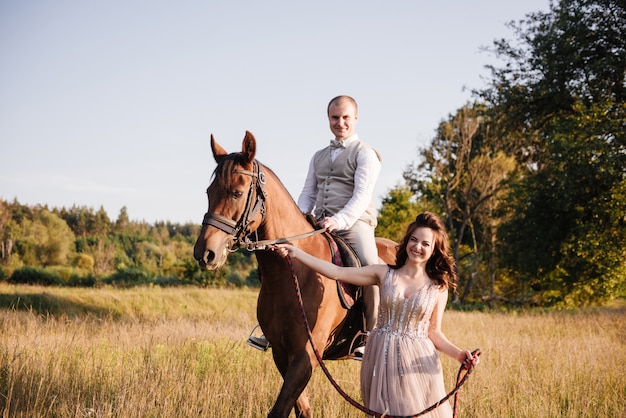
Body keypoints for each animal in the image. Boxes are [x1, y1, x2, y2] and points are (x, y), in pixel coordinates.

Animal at [193, 131, 394, 418]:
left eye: (237, 193)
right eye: (209, 192)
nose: (205, 253)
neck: (294, 272)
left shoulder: (305, 355)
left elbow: (279, 410)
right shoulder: (282, 353)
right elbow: (301, 409)